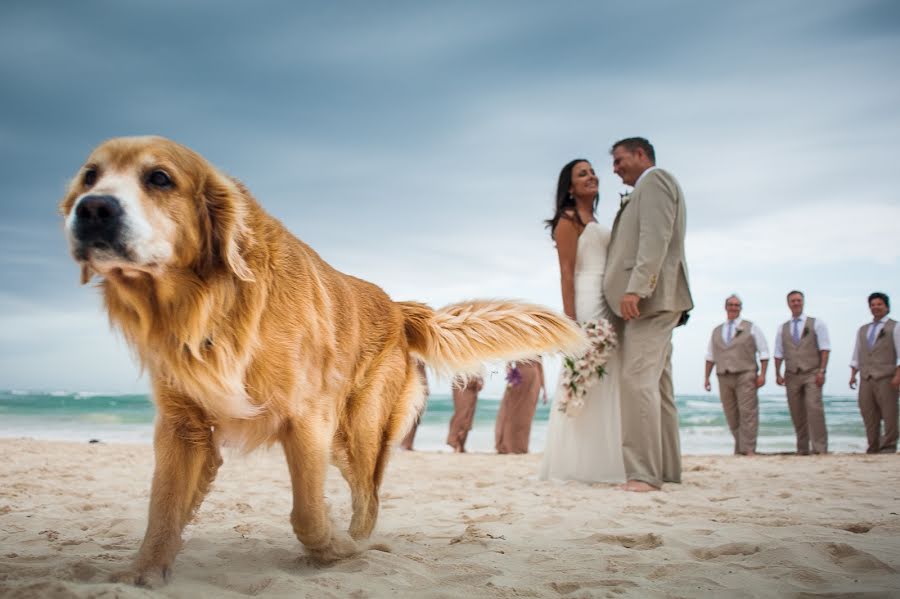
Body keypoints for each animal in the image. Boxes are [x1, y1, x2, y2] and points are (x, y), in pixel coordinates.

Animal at [59, 137, 588, 584]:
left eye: (160, 178)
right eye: (89, 176)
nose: (93, 210)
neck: (212, 304)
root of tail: (398, 307)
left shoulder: (306, 419)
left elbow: (308, 514)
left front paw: (335, 551)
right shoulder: (182, 426)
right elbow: (164, 508)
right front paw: (144, 574)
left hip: (359, 430)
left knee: (369, 496)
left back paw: (359, 542)